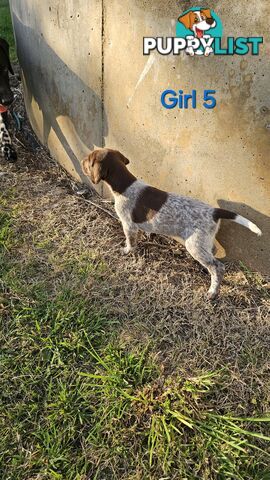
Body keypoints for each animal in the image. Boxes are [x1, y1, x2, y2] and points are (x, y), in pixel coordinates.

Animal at [81, 149, 262, 300]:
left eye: (89, 160)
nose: (82, 161)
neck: (126, 185)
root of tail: (214, 211)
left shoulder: (128, 225)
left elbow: (130, 242)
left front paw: (127, 251)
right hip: (203, 240)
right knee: (213, 252)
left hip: (194, 245)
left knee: (218, 267)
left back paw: (213, 291)